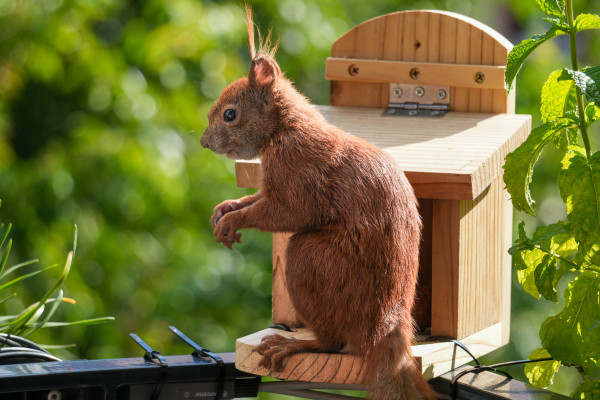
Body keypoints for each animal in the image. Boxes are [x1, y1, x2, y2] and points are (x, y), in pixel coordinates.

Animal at [202, 8, 436, 400]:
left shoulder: (299, 171)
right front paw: (228, 207)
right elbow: (257, 198)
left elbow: (285, 212)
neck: (285, 128)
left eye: (230, 114)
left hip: (313, 261)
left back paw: (294, 344)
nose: (204, 143)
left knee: (332, 341)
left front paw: (234, 221)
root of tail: (387, 326)